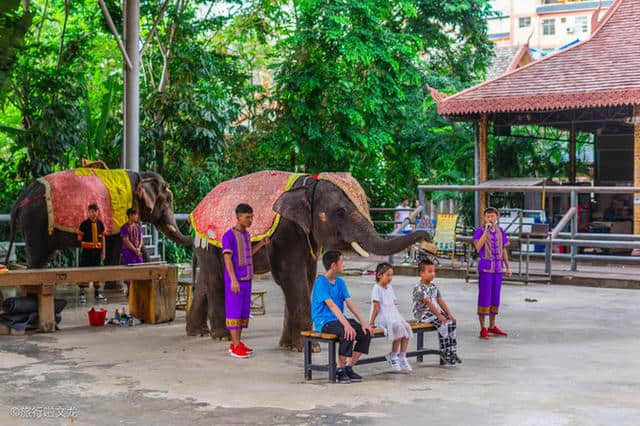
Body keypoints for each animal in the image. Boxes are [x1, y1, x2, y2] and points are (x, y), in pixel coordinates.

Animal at [3, 168, 192, 282]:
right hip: (35, 222)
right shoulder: (121, 211)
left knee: (43, 257)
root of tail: (20, 199)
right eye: (168, 201)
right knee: (37, 258)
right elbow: (117, 244)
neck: (141, 175)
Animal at [186, 171, 430, 352]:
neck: (307, 183)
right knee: (216, 279)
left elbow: (308, 276)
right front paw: (308, 348)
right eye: (340, 212)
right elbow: (292, 277)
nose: (427, 238)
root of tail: (198, 206)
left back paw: (197, 332)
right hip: (210, 240)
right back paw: (221, 337)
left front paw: (288, 346)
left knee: (204, 280)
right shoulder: (285, 231)